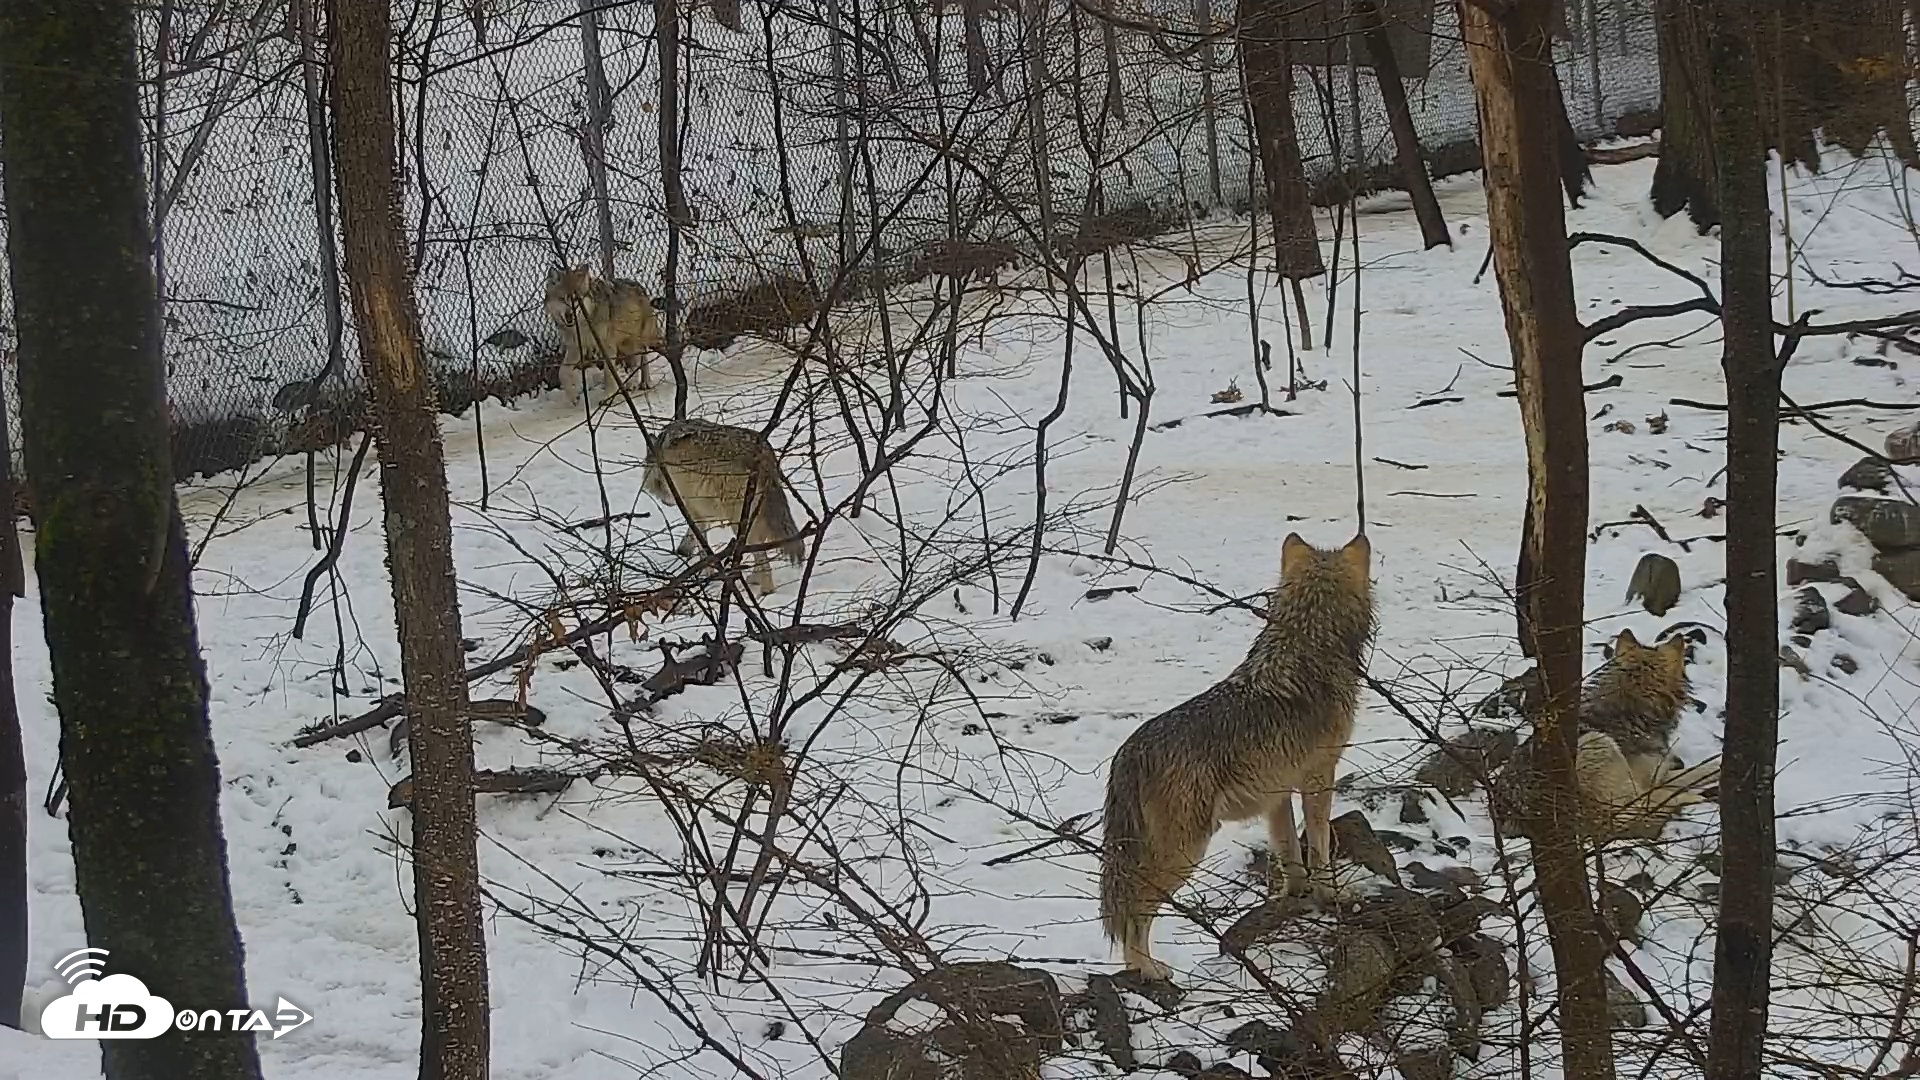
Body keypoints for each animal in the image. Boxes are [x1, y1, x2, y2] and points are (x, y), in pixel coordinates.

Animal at [542, 265, 665, 403]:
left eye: (577, 300)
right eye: (562, 298)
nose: (570, 316)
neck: (584, 323)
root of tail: (641, 287)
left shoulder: (607, 346)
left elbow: (608, 373)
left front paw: (608, 397)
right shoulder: (576, 347)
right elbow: (562, 372)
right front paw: (574, 397)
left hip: (636, 340)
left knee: (640, 357)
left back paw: (637, 383)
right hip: (625, 345)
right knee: (642, 357)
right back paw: (643, 383)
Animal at [642, 418, 805, 594]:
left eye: (658, 484)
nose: (665, 501)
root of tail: (763, 454)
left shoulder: (692, 504)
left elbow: (700, 540)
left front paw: (705, 572)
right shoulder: (700, 504)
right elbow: (695, 535)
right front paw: (687, 551)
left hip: (737, 519)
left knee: (762, 559)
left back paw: (766, 591)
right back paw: (754, 580)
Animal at [1100, 533, 1376, 980]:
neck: (1309, 643)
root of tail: (1129, 751)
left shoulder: (1277, 793)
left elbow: (1289, 852)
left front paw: (1296, 894)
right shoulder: (1319, 777)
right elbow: (1319, 846)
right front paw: (1332, 894)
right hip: (1184, 852)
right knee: (1134, 910)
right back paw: (1147, 969)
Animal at [1497, 629, 1719, 844]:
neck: (1633, 709)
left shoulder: (1657, 774)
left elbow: (1697, 771)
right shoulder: (1646, 782)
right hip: (1598, 743)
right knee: (1638, 810)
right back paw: (1697, 796)